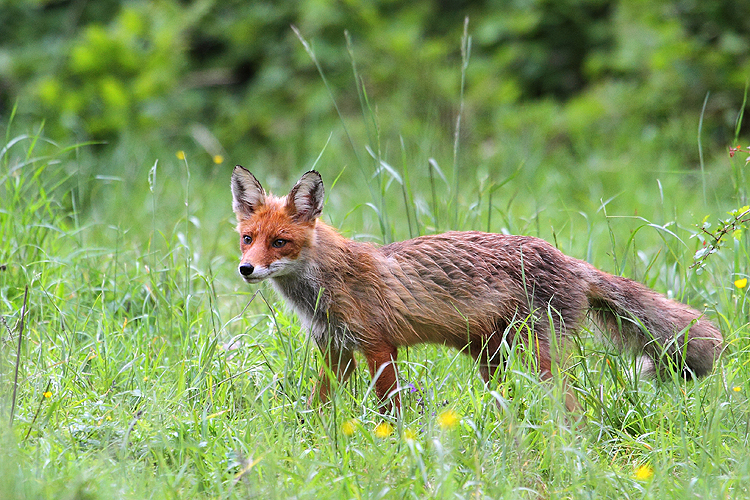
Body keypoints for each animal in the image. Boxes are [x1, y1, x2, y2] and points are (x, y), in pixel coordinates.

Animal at [232, 166, 724, 412]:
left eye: (280, 242)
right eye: (248, 238)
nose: (246, 269)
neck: (325, 286)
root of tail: (568, 259)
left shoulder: (379, 347)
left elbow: (391, 410)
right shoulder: (335, 351)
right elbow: (318, 408)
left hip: (537, 356)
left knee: (571, 408)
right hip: (492, 357)